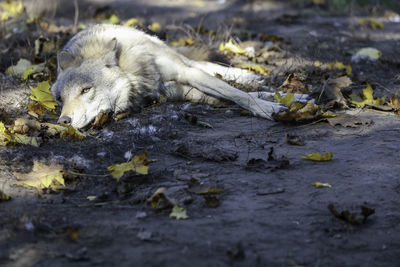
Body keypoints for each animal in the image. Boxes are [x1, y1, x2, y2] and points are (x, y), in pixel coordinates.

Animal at [50, 24, 288, 129]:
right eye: (60, 99)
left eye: (86, 90)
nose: (63, 121)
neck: (133, 74)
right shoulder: (173, 91)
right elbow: (222, 97)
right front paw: (270, 100)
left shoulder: (185, 73)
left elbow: (235, 93)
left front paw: (268, 108)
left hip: (178, 61)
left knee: (203, 64)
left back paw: (249, 76)